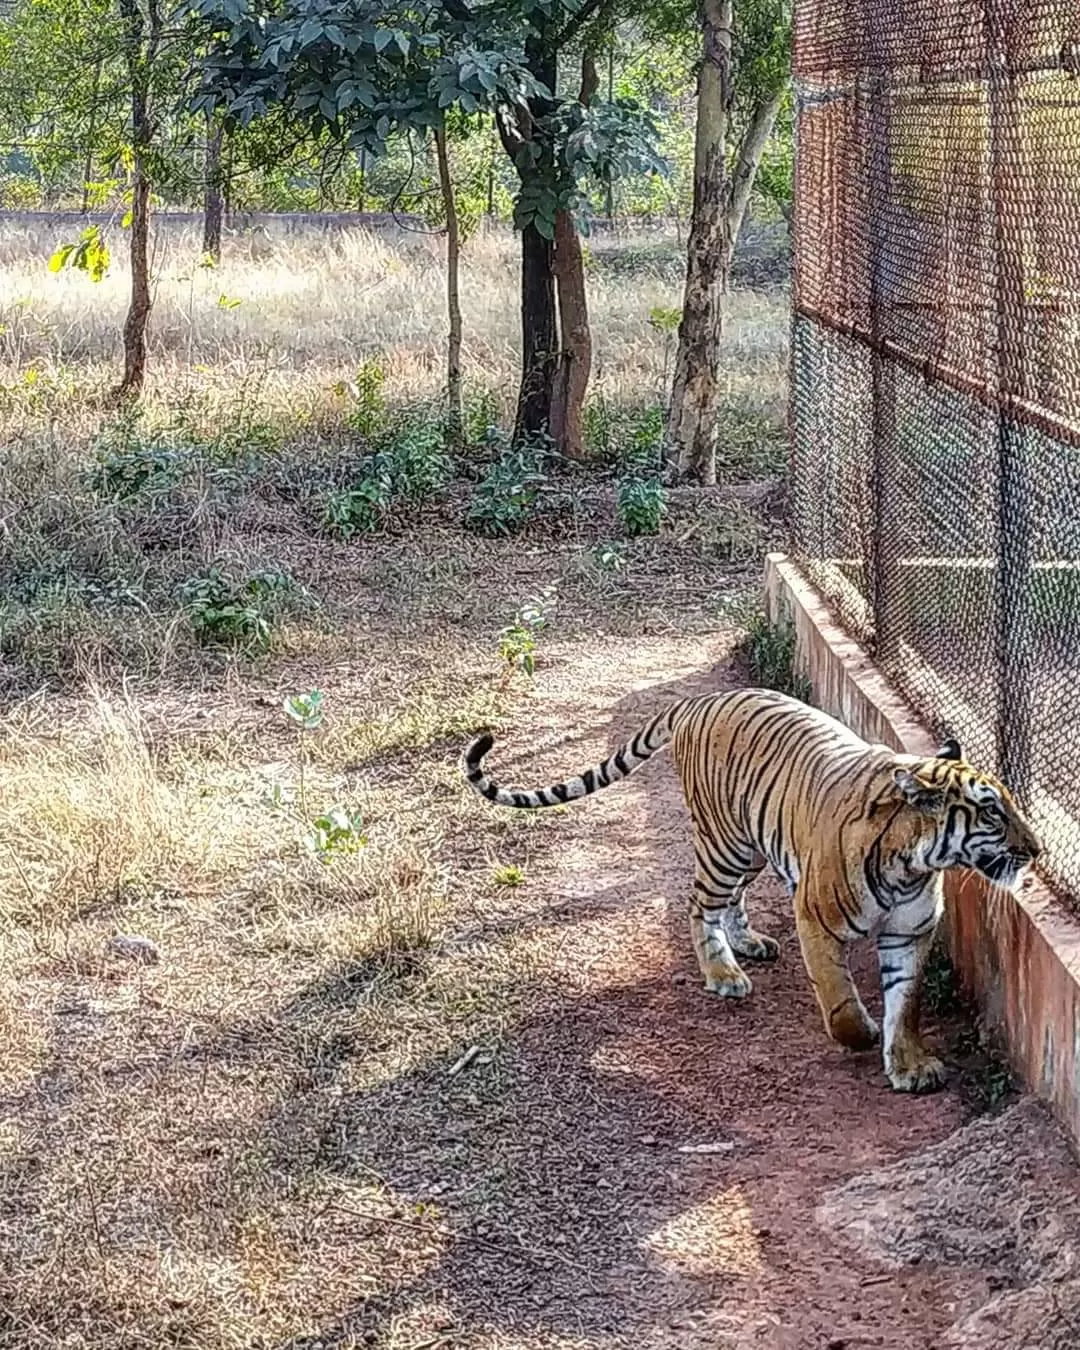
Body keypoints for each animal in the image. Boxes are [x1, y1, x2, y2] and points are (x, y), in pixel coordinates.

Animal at [459, 691, 1042, 1090]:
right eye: (993, 812)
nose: (1037, 849)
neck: (914, 863)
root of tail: (695, 701)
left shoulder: (910, 932)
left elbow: (908, 1002)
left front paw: (909, 1065)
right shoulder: (816, 918)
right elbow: (838, 997)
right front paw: (862, 1034)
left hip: (755, 846)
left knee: (731, 900)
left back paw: (748, 945)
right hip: (724, 846)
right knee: (699, 905)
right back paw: (722, 973)